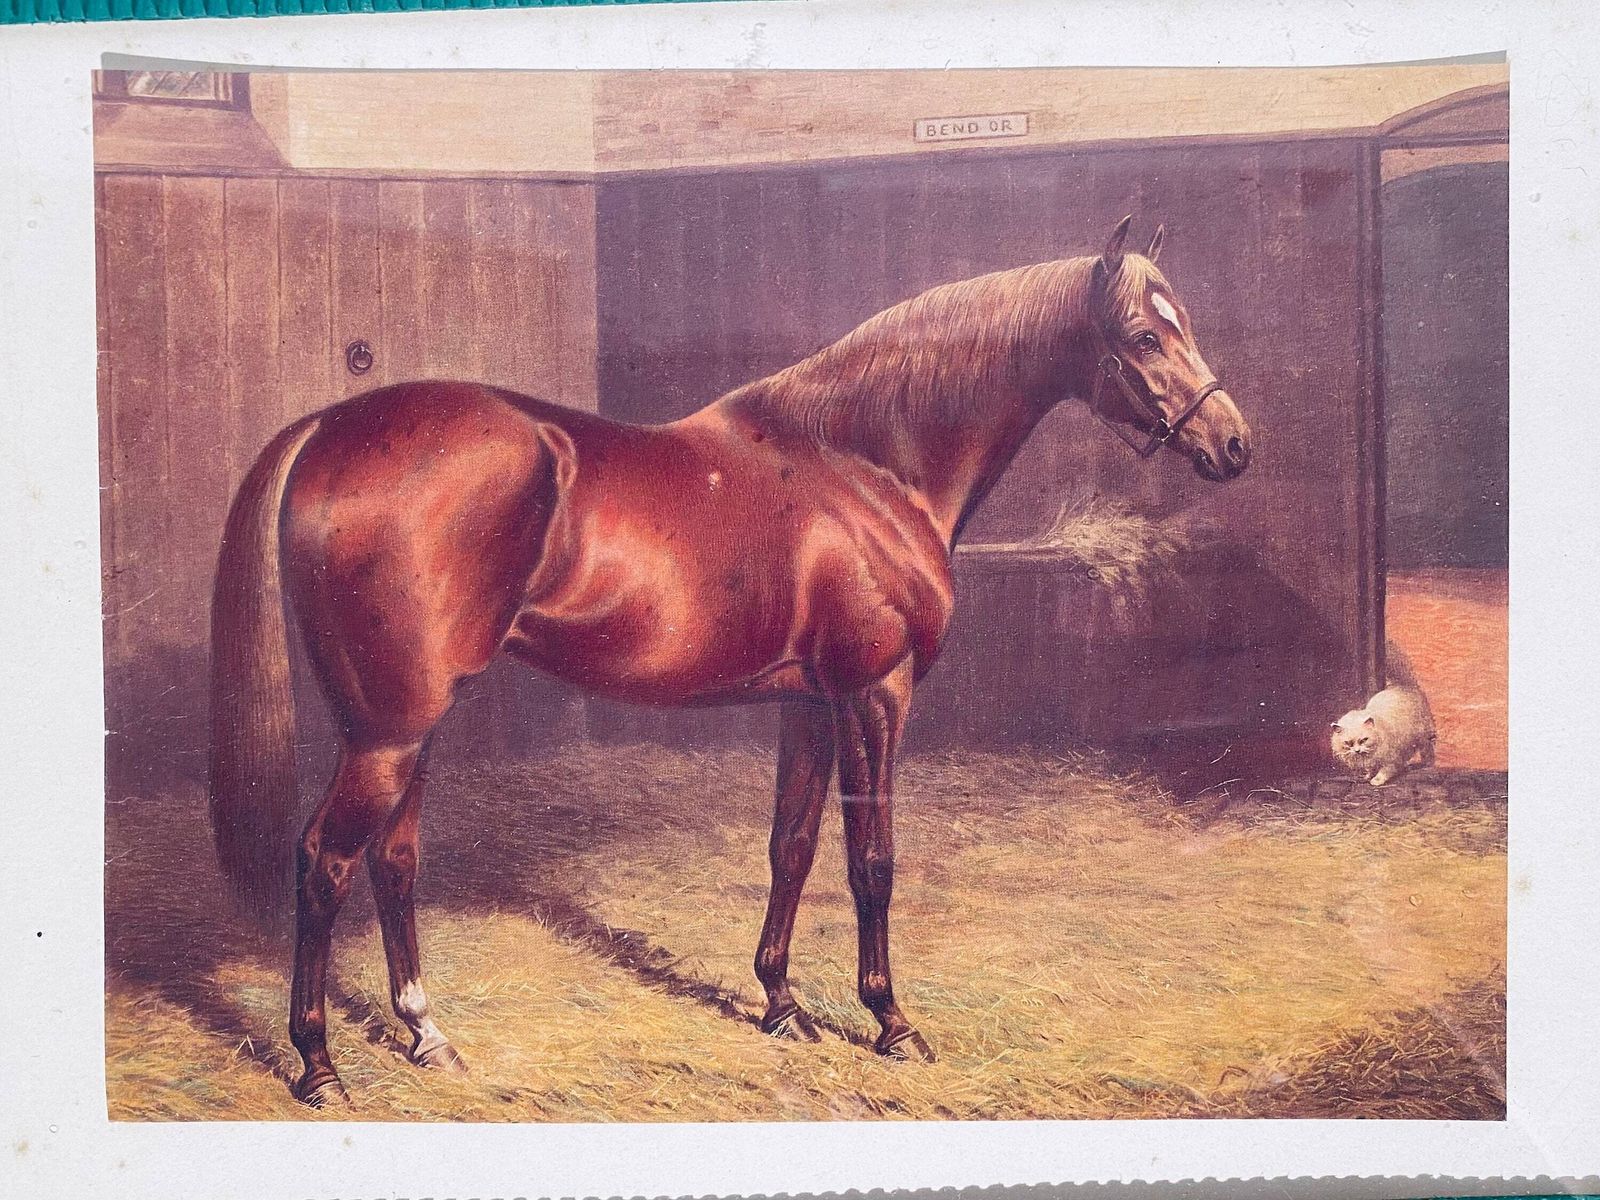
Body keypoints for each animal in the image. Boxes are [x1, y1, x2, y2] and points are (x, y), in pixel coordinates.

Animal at [206, 215, 1253, 1105]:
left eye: (1185, 324)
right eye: (1143, 336)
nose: (1234, 443)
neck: (863, 465)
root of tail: (330, 429)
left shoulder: (809, 703)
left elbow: (792, 847)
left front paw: (781, 1007)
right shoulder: (875, 693)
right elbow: (872, 858)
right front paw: (891, 1022)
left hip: (407, 725)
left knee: (395, 860)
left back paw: (428, 1037)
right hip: (388, 732)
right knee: (324, 862)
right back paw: (317, 1066)